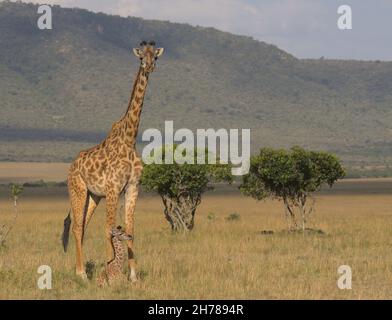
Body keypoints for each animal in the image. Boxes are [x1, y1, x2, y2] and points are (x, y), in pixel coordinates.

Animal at [62, 40, 164, 282]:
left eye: (155, 56)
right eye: (141, 57)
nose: (149, 66)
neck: (130, 138)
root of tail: (72, 166)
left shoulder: (132, 187)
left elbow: (130, 228)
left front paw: (133, 276)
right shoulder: (113, 188)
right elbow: (109, 228)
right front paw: (110, 272)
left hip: (94, 196)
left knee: (83, 226)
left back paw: (82, 270)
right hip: (78, 189)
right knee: (77, 227)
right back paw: (81, 274)